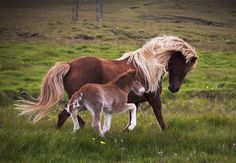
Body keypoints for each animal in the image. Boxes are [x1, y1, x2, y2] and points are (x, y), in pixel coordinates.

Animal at [15, 36, 198, 131]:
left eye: (187, 69)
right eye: (182, 66)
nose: (174, 89)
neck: (148, 67)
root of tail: (70, 65)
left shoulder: (135, 102)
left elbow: (131, 120)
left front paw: (125, 132)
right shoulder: (154, 98)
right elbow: (160, 119)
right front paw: (166, 135)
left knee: (66, 113)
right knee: (64, 114)